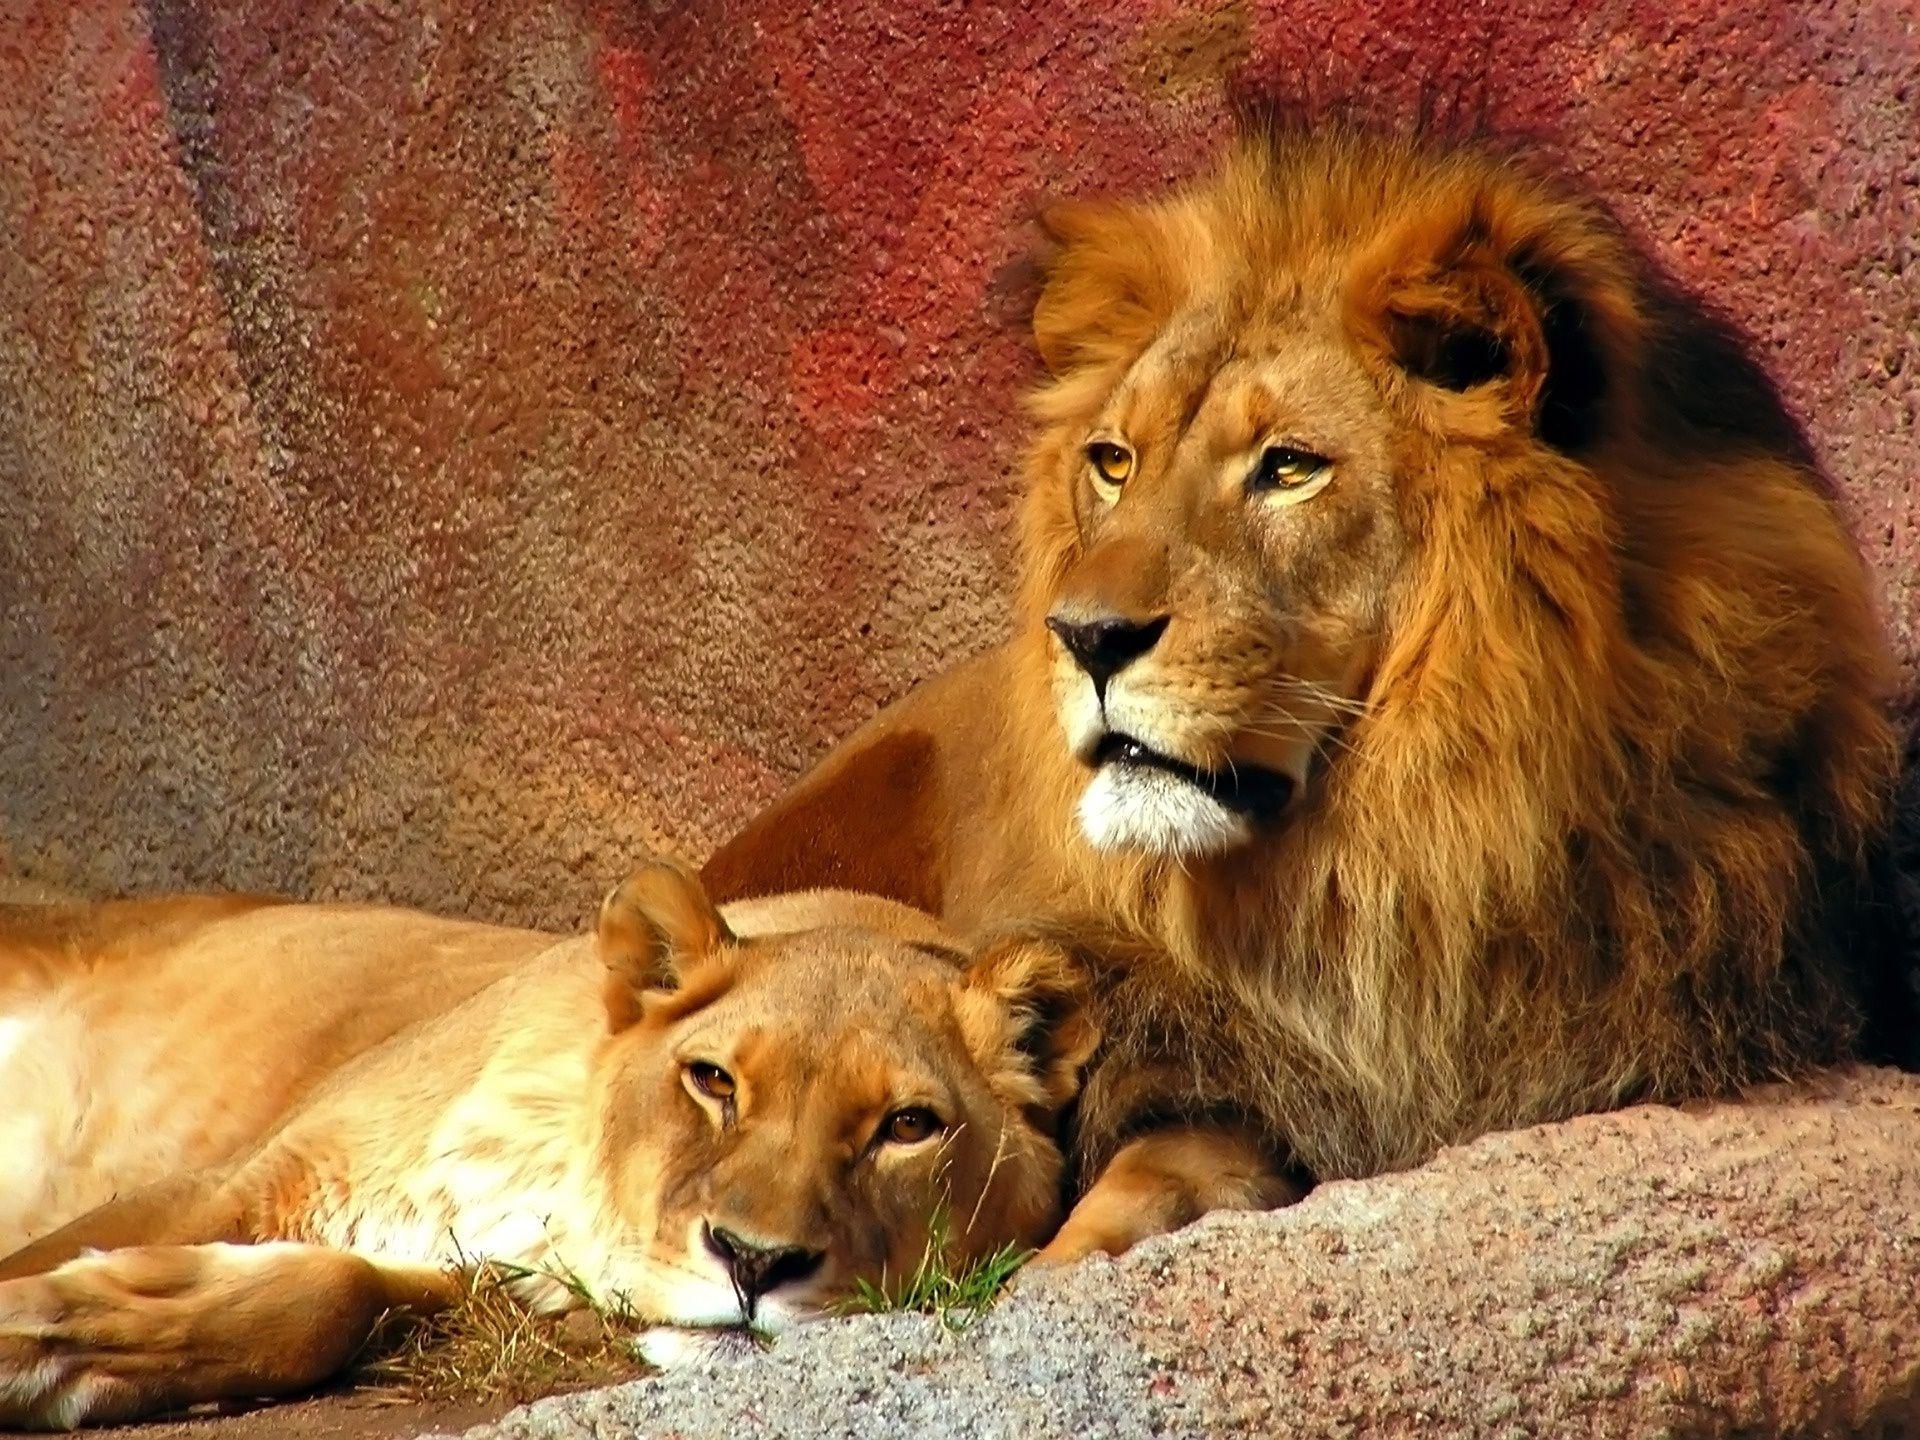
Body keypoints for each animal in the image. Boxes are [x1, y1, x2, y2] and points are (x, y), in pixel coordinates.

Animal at [0, 864, 1098, 1428]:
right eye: (714, 1081)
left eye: (907, 1126)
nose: (754, 1263)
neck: (549, 1170)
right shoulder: (244, 1174)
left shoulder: (470, 1274)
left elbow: (334, 1296)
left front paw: (66, 1338)